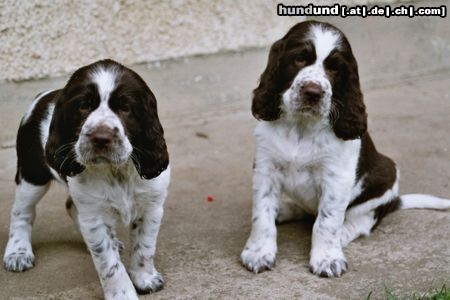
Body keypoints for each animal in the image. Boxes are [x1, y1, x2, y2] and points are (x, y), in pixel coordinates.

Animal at [3, 59, 171, 298]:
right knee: (21, 212)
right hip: (32, 175)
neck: (117, 170)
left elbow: (144, 247)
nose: (101, 138)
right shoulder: (94, 217)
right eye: (83, 105)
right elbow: (109, 265)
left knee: (71, 206)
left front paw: (145, 278)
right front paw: (123, 294)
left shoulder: (151, 206)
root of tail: (41, 97)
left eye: (125, 108)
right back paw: (18, 252)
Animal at [241, 21, 450, 278]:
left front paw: (327, 259)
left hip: (387, 176)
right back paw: (284, 210)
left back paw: (341, 235)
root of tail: (395, 202)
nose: (313, 92)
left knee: (360, 222)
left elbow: (327, 222)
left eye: (336, 69)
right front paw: (259, 252)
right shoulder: (265, 169)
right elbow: (262, 215)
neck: (301, 126)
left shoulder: (337, 178)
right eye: (299, 58)